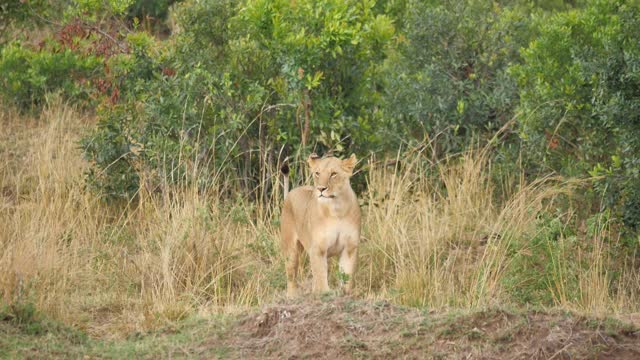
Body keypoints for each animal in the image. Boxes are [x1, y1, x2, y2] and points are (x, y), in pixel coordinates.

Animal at [278, 153, 360, 296]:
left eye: (333, 174)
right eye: (317, 173)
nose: (321, 189)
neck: (336, 209)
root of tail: (290, 193)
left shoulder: (350, 248)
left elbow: (347, 277)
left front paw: (345, 293)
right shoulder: (318, 248)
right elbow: (321, 276)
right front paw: (325, 294)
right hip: (290, 249)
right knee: (291, 277)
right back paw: (292, 296)